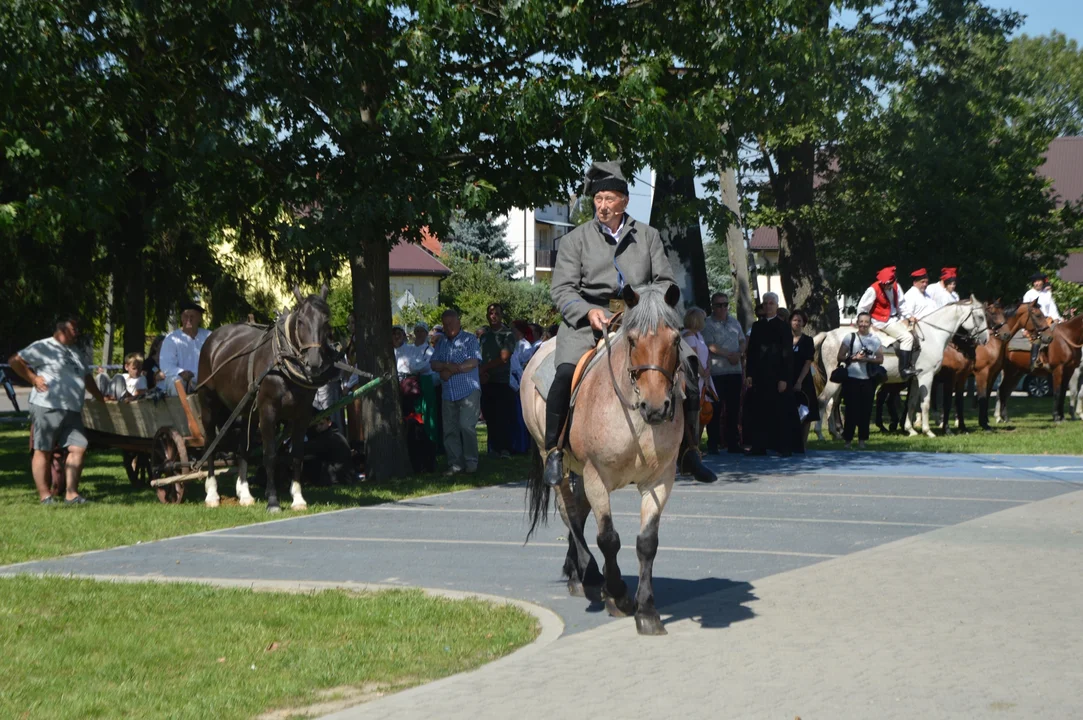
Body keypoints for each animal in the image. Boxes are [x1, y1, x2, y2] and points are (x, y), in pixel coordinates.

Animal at [198, 285, 333, 511]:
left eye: (326, 321)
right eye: (301, 321)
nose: (314, 362)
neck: (283, 363)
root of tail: (215, 337)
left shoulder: (302, 415)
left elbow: (297, 455)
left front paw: (298, 498)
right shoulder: (268, 412)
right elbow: (270, 455)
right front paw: (273, 500)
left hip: (245, 409)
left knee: (243, 447)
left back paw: (244, 493)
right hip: (208, 403)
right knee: (211, 443)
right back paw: (212, 494)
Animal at [522, 281, 684, 636]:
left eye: (676, 338)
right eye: (633, 340)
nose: (656, 407)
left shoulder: (659, 480)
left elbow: (647, 542)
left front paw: (646, 611)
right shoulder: (597, 476)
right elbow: (608, 538)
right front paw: (619, 595)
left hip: (580, 471)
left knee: (579, 514)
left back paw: (576, 574)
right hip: (552, 457)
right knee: (570, 513)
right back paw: (591, 575)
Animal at [814, 296, 987, 437]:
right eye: (980, 316)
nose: (985, 339)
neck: (932, 335)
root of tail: (829, 334)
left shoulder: (916, 379)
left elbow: (911, 403)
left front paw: (910, 430)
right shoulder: (927, 376)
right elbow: (925, 403)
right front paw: (928, 431)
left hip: (840, 380)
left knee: (831, 403)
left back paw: (835, 433)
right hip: (835, 381)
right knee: (823, 400)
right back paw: (820, 433)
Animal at [935, 298, 1044, 428]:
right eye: (1038, 315)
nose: (1046, 334)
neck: (990, 343)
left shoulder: (993, 374)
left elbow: (986, 396)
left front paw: (984, 420)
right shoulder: (981, 373)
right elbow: (982, 396)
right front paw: (982, 423)